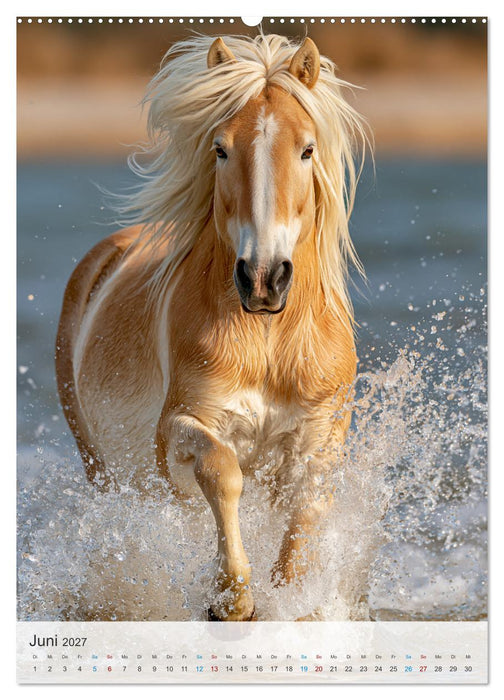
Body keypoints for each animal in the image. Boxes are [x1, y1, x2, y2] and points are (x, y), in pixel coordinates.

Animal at [55, 34, 368, 621]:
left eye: (307, 149)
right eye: (221, 148)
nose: (263, 278)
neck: (270, 343)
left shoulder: (319, 437)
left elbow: (305, 517)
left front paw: (291, 600)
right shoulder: (180, 431)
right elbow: (222, 471)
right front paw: (232, 597)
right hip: (103, 472)